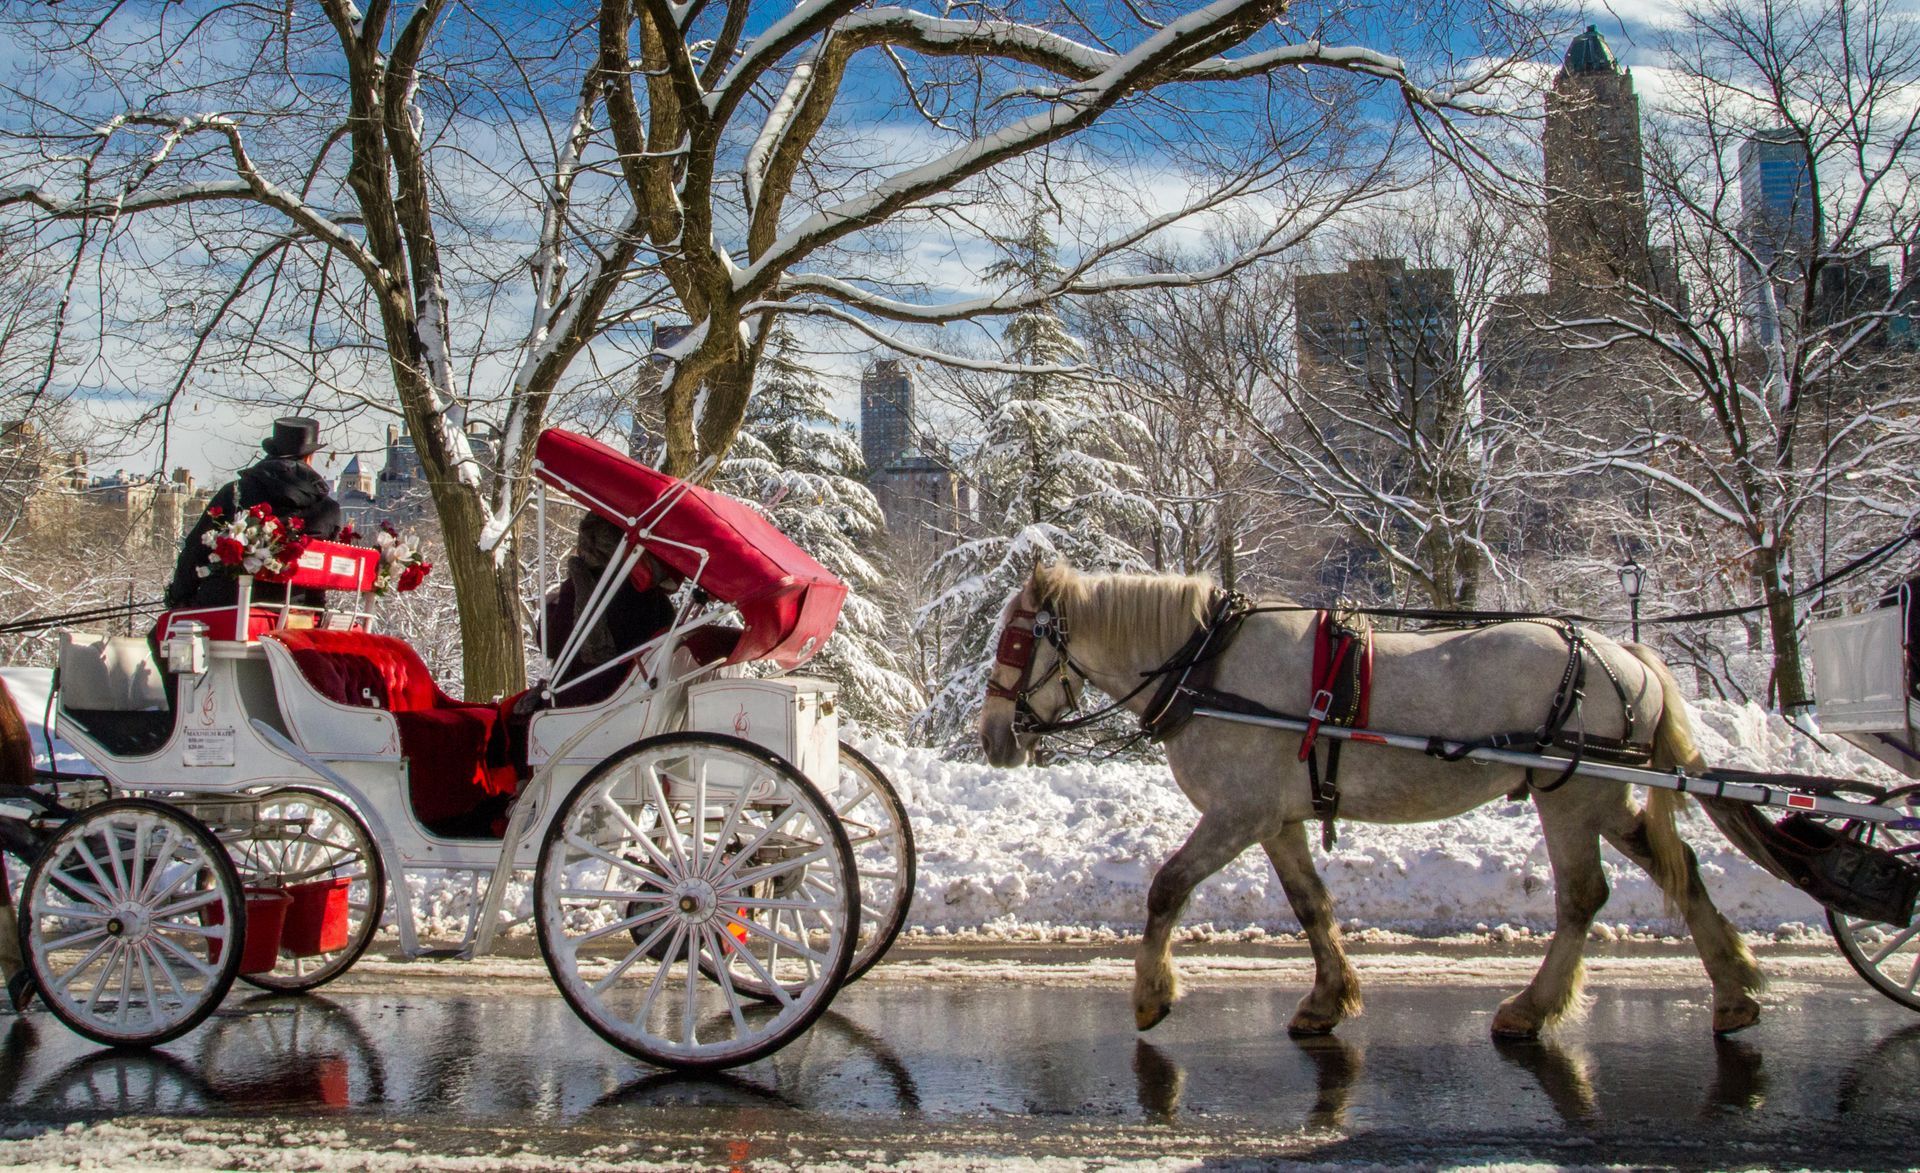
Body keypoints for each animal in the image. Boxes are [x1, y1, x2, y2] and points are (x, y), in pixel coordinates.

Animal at [983, 568, 1758, 1036]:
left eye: (1017, 642)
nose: (992, 738)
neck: (1205, 668)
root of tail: (1624, 653)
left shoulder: (1236, 815)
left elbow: (1167, 887)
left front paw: (1151, 995)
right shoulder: (1277, 820)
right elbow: (1312, 905)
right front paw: (1329, 997)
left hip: (1569, 795)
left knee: (1583, 896)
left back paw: (1531, 1008)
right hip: (1603, 794)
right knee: (1676, 867)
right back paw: (1733, 987)